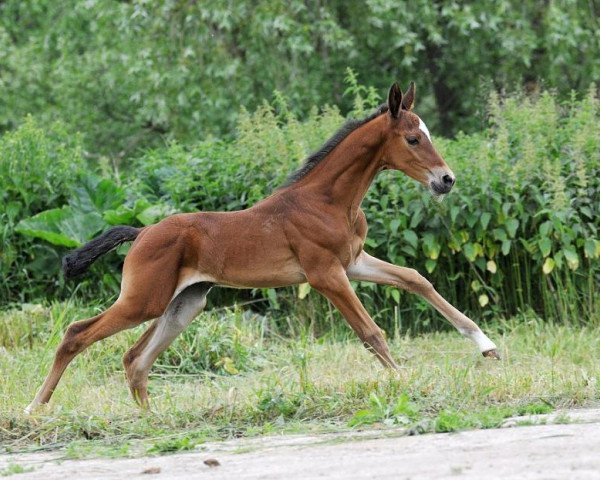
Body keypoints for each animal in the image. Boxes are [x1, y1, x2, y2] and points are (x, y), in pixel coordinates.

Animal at [25, 82, 500, 412]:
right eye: (413, 139)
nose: (446, 180)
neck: (328, 200)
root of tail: (141, 233)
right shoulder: (325, 274)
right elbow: (371, 332)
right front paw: (405, 381)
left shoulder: (354, 262)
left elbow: (416, 280)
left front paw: (487, 345)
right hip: (144, 299)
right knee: (77, 334)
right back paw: (35, 408)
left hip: (185, 303)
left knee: (134, 359)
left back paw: (151, 419)